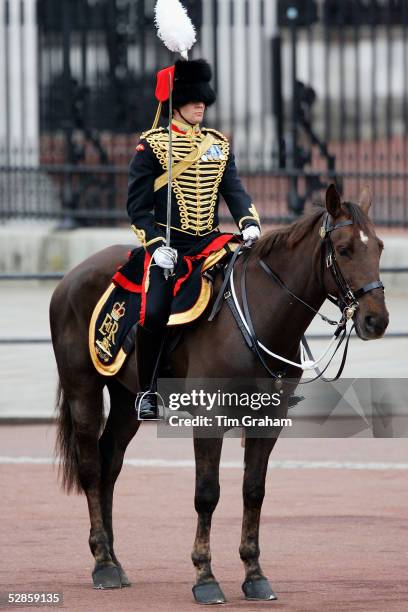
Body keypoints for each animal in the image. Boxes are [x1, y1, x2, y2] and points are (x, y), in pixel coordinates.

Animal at [49, 185, 388, 604]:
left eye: (379, 247)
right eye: (343, 249)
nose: (377, 320)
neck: (259, 314)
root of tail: (71, 276)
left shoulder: (268, 419)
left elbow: (254, 490)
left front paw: (254, 574)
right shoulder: (209, 417)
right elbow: (207, 493)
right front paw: (205, 577)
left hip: (128, 400)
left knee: (110, 462)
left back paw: (114, 559)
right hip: (83, 389)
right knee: (92, 468)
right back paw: (103, 564)